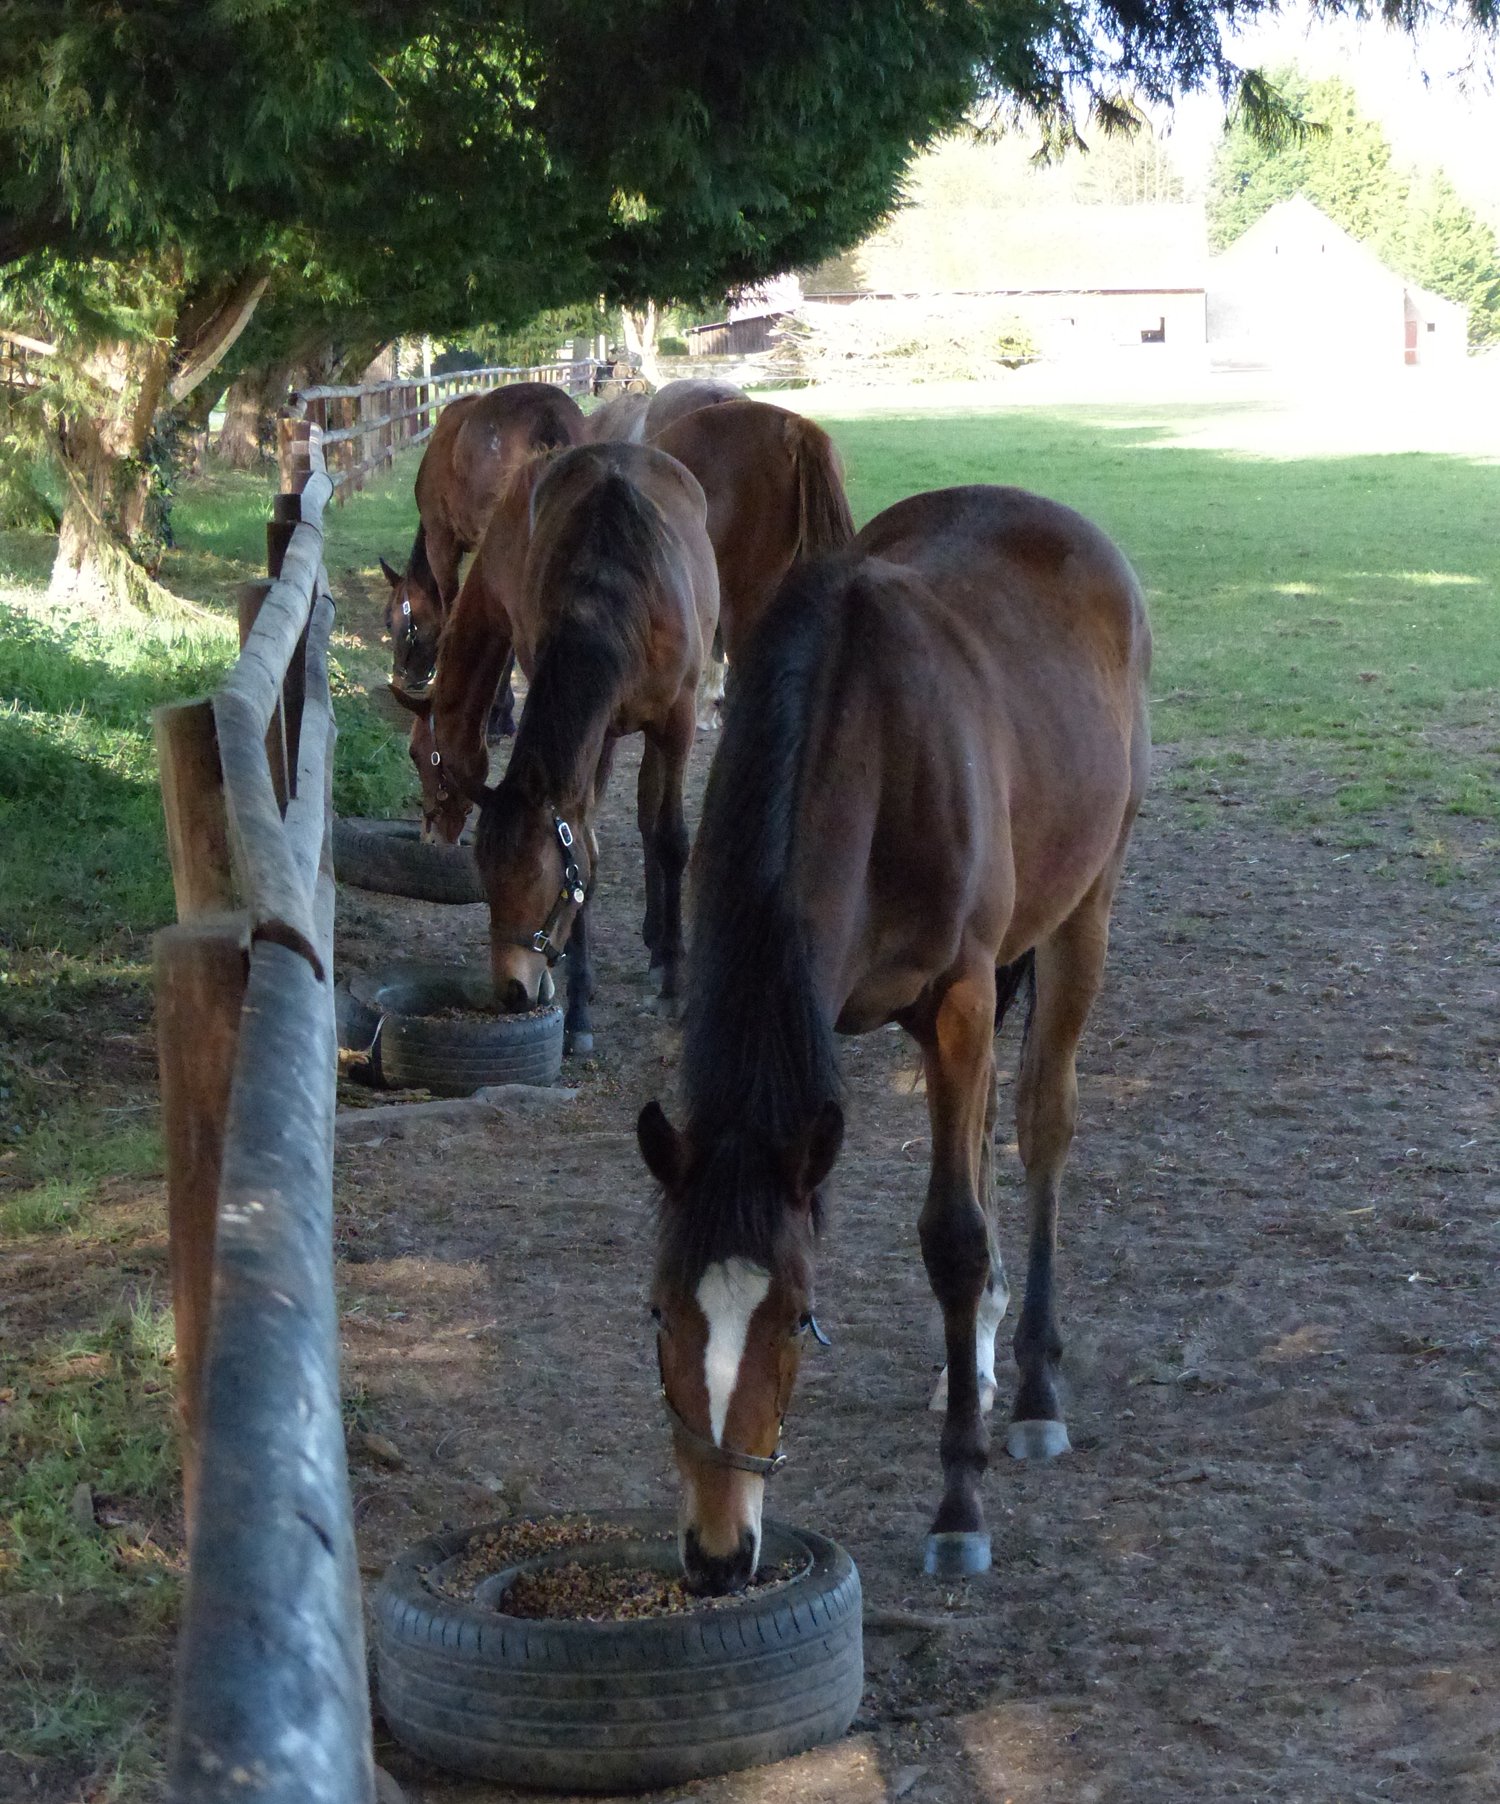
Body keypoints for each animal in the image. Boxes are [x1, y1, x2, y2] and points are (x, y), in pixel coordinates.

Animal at [435, 442, 719, 1052]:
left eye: (543, 887)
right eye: (487, 884)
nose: (513, 990)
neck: (615, 590)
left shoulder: (677, 720)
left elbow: (672, 839)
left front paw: (674, 985)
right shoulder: (597, 728)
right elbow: (587, 843)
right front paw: (580, 1009)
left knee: (654, 821)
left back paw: (663, 951)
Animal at [636, 484, 1151, 1593]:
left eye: (795, 1315)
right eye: (660, 1310)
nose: (715, 1553)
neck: (866, 743)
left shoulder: (958, 999)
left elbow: (951, 1234)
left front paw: (960, 1503)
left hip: (1083, 907)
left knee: (1040, 1125)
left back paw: (1033, 1387)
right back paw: (979, 1356)